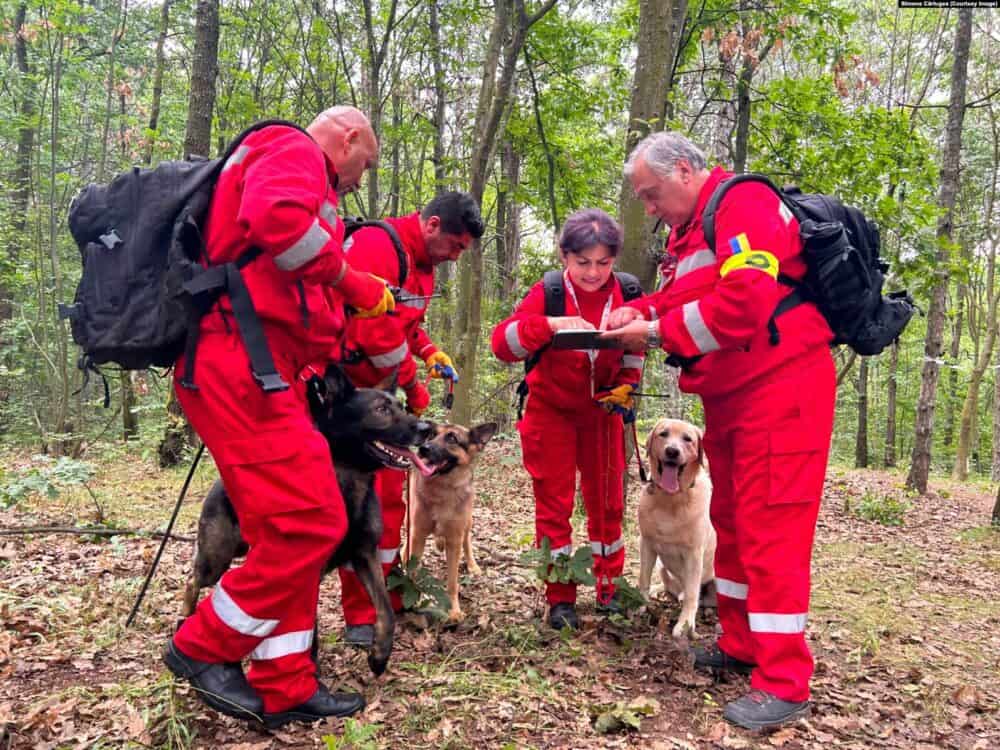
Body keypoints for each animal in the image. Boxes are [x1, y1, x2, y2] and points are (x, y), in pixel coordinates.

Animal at [184, 368, 434, 680]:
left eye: (401, 406)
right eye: (381, 410)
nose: (427, 428)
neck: (347, 480)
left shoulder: (365, 555)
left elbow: (386, 611)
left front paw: (379, 656)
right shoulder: (309, 573)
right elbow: (309, 632)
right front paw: (311, 669)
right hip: (217, 557)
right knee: (194, 578)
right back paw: (186, 615)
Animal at [404, 424, 498, 624]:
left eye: (452, 439)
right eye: (432, 435)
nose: (423, 449)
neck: (442, 492)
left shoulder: (454, 540)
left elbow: (453, 582)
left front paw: (454, 610)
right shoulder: (418, 534)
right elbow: (413, 570)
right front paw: (414, 599)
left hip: (467, 522)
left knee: (467, 541)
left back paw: (472, 565)